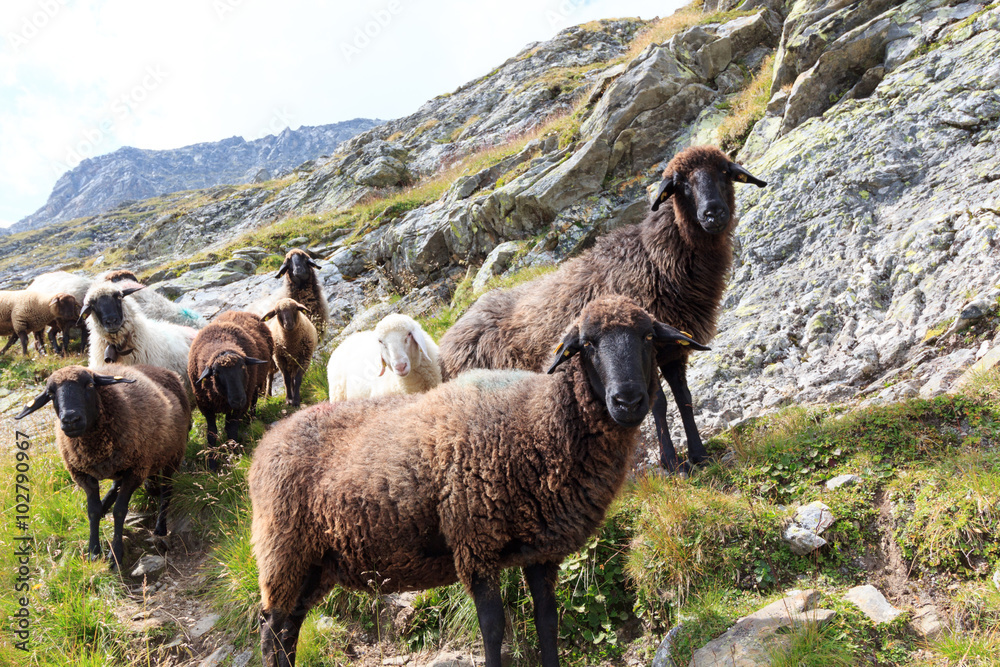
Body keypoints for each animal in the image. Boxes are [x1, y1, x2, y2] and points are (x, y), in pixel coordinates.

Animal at [14, 366, 191, 568]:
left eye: (90, 384)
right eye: (51, 394)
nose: (70, 420)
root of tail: (165, 371)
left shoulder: (136, 470)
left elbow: (120, 511)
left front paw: (116, 554)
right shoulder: (83, 476)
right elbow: (93, 511)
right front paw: (93, 551)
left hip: (173, 454)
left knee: (166, 490)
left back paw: (161, 527)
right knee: (118, 486)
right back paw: (108, 502)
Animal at [188, 312, 272, 472]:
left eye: (242, 367)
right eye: (216, 373)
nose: (237, 400)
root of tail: (240, 312)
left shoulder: (240, 404)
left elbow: (232, 429)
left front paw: (234, 456)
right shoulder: (206, 407)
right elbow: (211, 433)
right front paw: (212, 463)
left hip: (253, 385)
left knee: (253, 400)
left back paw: (251, 419)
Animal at [247, 298, 708, 667]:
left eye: (648, 337)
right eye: (587, 344)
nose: (627, 401)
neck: (535, 423)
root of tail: (268, 442)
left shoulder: (541, 551)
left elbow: (547, 621)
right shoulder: (474, 544)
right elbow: (493, 629)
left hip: (314, 564)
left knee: (289, 631)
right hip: (283, 551)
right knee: (271, 630)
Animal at [438, 144, 764, 472]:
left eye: (724, 172)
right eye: (681, 184)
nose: (713, 213)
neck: (654, 258)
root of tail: (449, 337)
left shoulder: (673, 349)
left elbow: (684, 397)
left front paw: (699, 455)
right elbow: (658, 403)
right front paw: (671, 463)